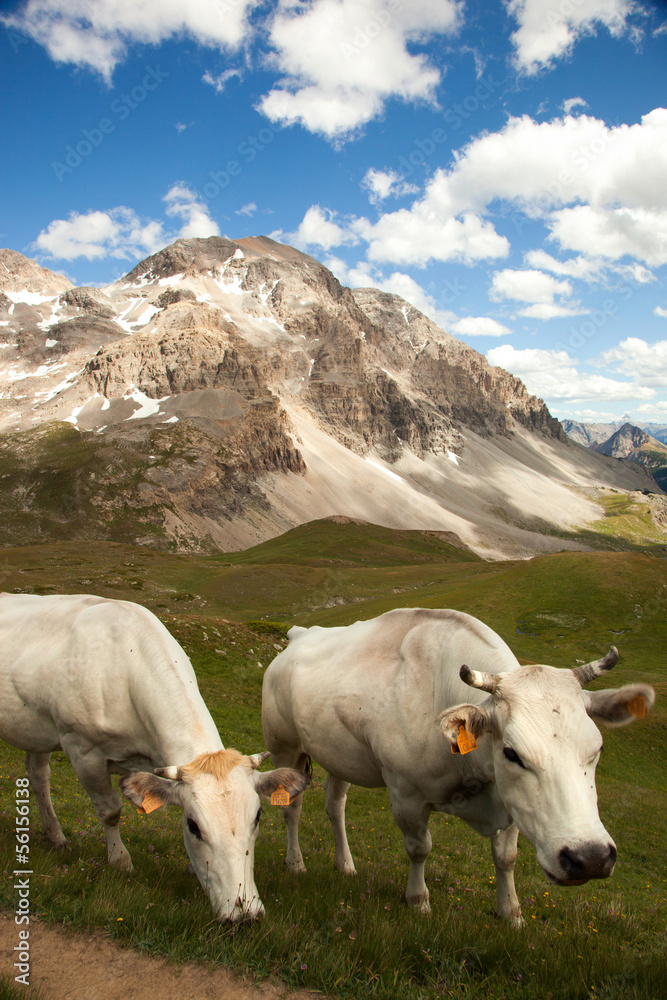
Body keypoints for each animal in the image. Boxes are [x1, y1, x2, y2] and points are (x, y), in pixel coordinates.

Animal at [0, 592, 308, 920]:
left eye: (258, 817)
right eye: (194, 826)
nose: (244, 914)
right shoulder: (82, 750)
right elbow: (109, 810)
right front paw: (120, 862)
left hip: (36, 729)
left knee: (38, 774)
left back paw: (55, 836)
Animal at [262, 604, 656, 924]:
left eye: (597, 748)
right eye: (512, 753)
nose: (590, 857)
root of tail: (300, 633)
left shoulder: (510, 800)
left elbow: (506, 856)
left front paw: (511, 913)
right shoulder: (406, 795)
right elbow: (419, 849)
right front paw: (418, 901)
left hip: (339, 755)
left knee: (335, 804)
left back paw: (345, 865)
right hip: (285, 747)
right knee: (292, 808)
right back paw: (295, 863)